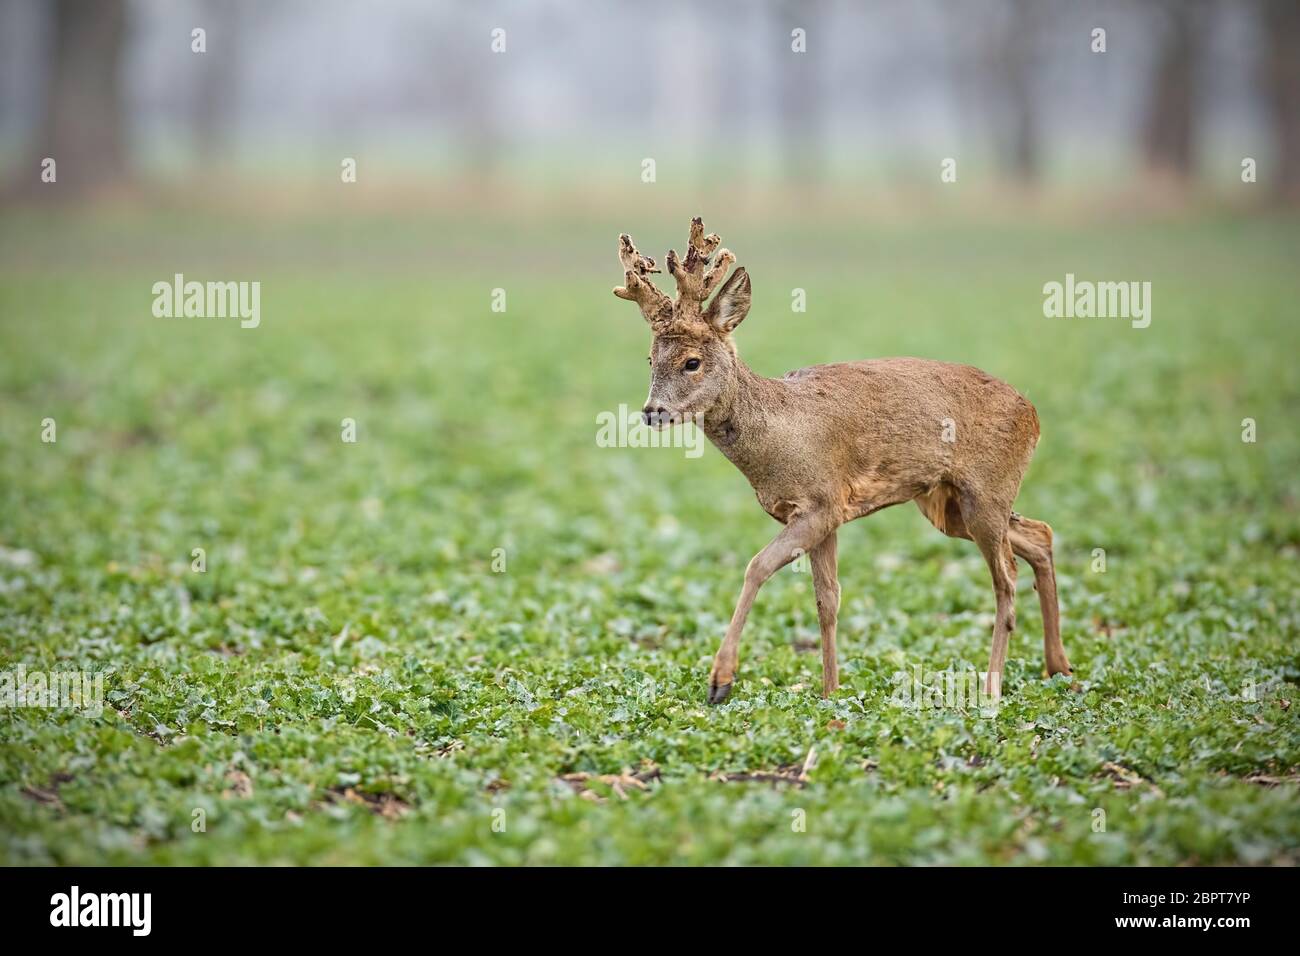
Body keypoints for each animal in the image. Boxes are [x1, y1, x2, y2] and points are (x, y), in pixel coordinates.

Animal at [613, 221, 1071, 707]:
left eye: (692, 362)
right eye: (650, 359)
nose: (652, 412)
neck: (778, 437)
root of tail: (1033, 414)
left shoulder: (820, 503)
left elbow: (756, 566)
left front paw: (721, 681)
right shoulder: (824, 513)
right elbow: (827, 599)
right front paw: (831, 692)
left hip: (987, 489)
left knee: (1007, 577)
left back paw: (992, 687)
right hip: (951, 505)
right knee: (1040, 535)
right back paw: (1059, 668)